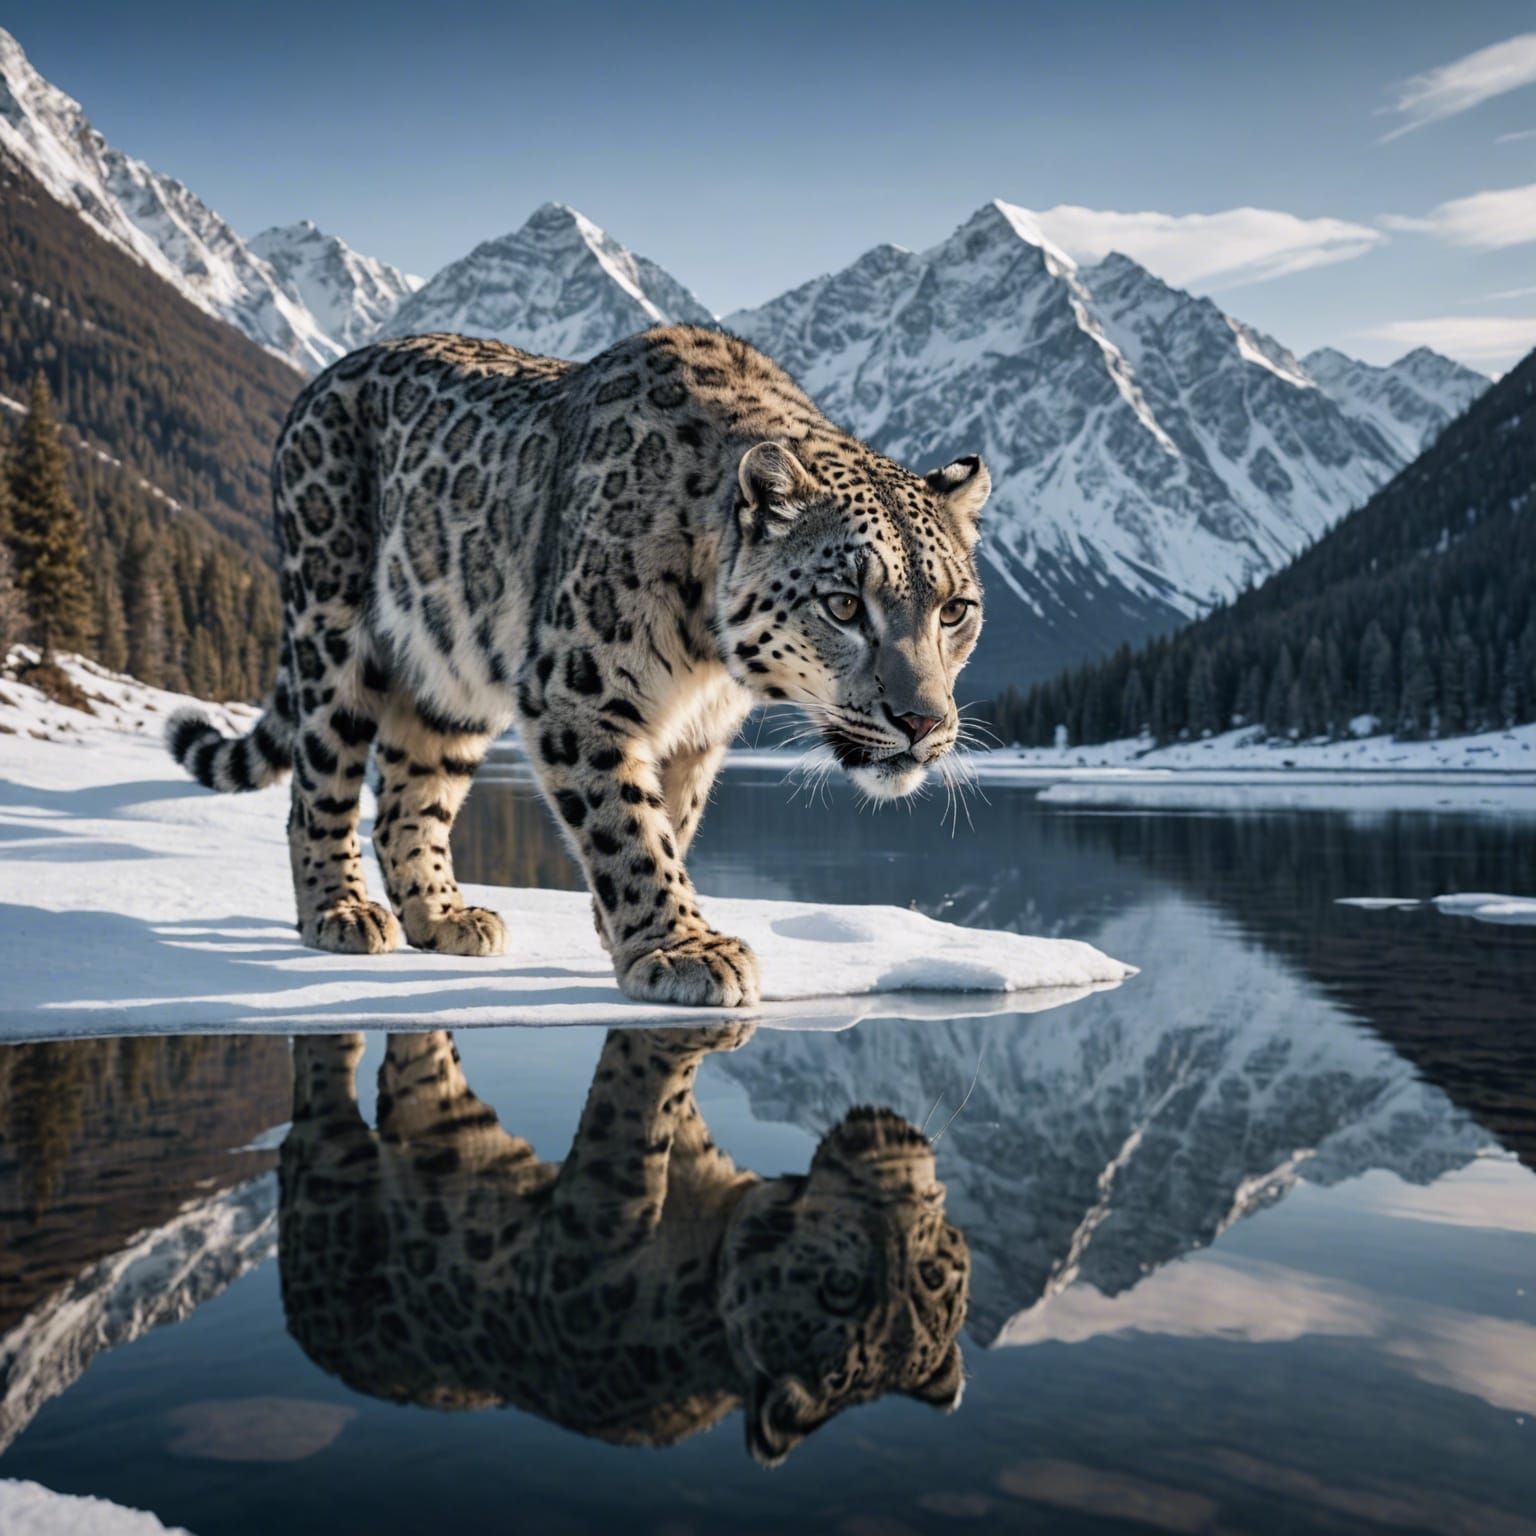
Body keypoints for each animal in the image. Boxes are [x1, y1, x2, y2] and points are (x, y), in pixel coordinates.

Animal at [167, 325, 990, 1006]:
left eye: (955, 610)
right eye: (845, 605)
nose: (922, 723)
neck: (707, 659)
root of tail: (318, 382)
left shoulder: (699, 731)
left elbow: (671, 816)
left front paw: (620, 924)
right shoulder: (577, 692)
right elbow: (624, 824)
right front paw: (680, 949)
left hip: (450, 679)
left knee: (409, 801)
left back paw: (444, 916)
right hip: (330, 625)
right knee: (319, 785)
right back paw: (339, 911)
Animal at [279, 1025, 970, 1466]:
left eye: (932, 1275)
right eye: (841, 1289)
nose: (895, 1168)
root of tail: (303, 1327)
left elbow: (649, 1105)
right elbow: (643, 1097)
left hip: (416, 1128)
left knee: (405, 1079)